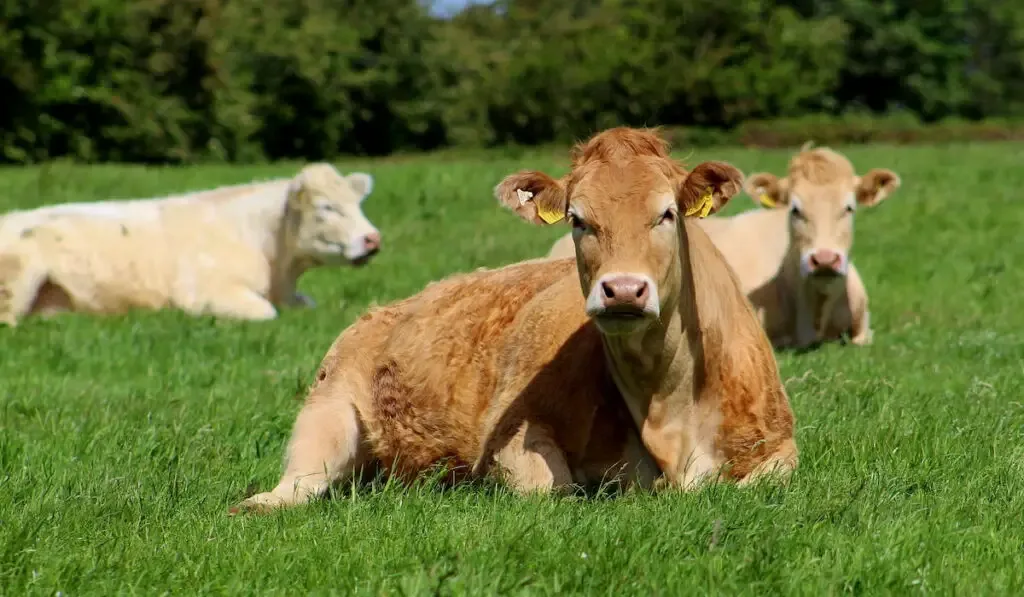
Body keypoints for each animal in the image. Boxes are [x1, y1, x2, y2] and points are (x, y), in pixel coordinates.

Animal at [234, 125, 798, 514]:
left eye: (667, 214)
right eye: (577, 218)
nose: (622, 289)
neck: (669, 404)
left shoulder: (781, 448)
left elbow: (761, 482)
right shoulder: (513, 434)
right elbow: (555, 490)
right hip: (327, 412)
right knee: (298, 486)